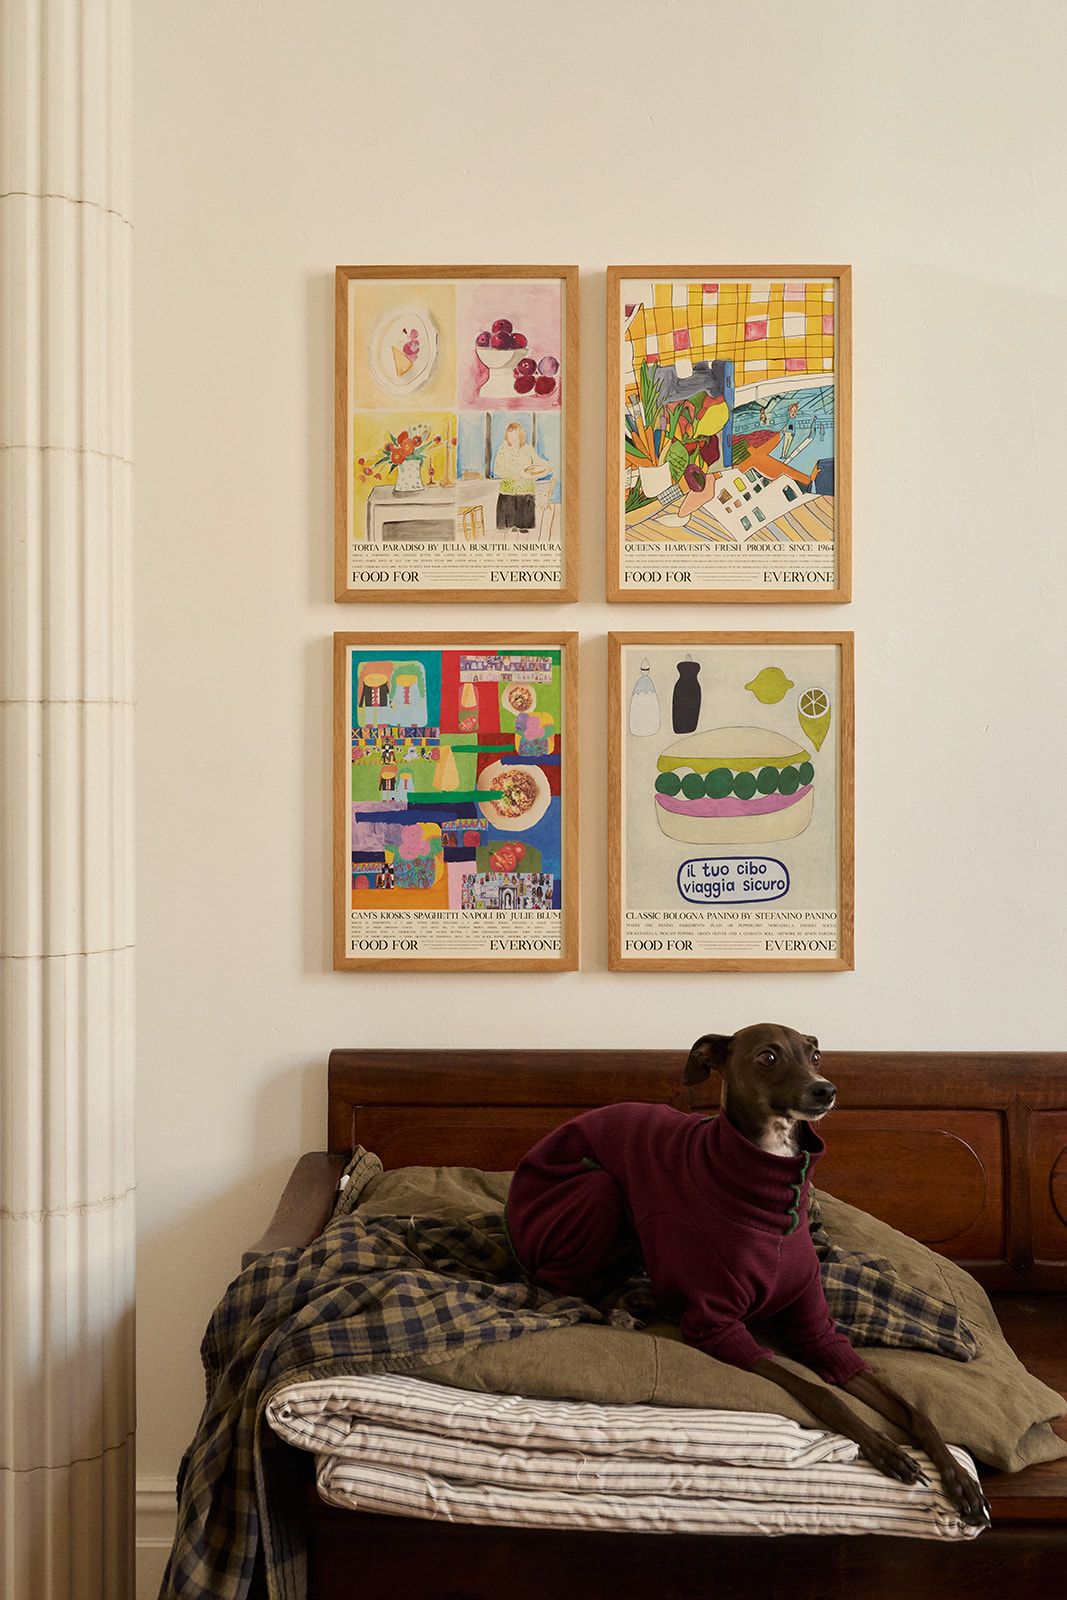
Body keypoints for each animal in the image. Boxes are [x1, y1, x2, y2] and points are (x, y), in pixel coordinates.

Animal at [505, 1024, 991, 1523]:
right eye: (767, 1057)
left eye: (815, 1054)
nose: (826, 1089)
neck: (768, 1182)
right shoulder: (719, 1326)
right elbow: (823, 1394)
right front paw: (886, 1449)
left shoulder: (819, 1332)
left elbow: (915, 1411)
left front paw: (959, 1479)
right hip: (593, 1189)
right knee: (558, 1288)